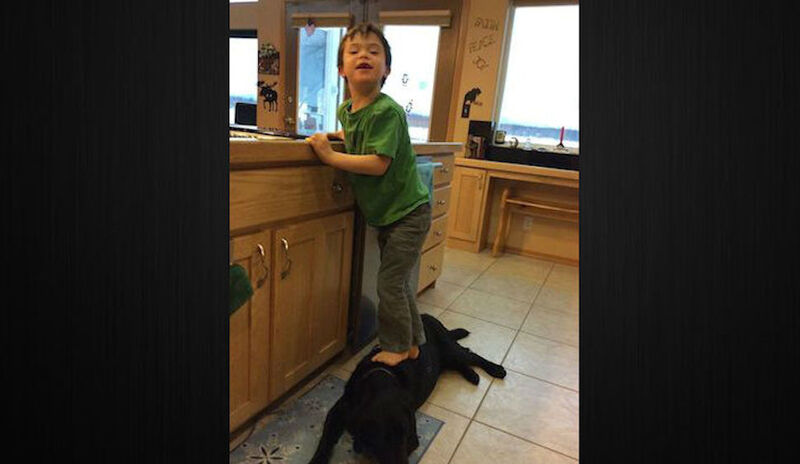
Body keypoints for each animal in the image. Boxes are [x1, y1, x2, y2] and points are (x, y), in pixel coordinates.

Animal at [309, 313, 507, 464]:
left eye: (405, 436)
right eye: (380, 438)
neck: (381, 376)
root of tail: (426, 315)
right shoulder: (338, 411)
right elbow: (325, 440)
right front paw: (318, 459)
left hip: (450, 349)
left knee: (471, 354)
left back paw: (496, 369)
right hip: (445, 359)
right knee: (460, 362)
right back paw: (472, 375)